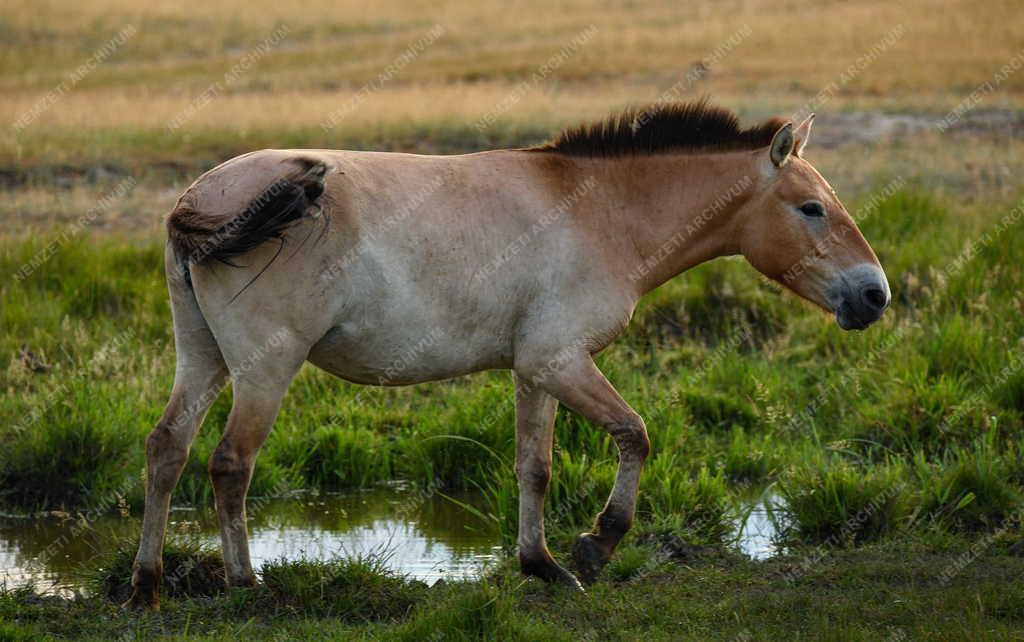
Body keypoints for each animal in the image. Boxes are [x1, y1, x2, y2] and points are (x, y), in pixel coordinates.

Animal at [125, 100, 888, 606]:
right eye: (812, 209)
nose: (874, 295)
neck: (598, 212)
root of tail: (198, 198)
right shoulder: (561, 361)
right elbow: (635, 436)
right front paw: (597, 545)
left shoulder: (534, 372)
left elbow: (535, 468)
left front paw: (542, 565)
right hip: (265, 370)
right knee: (231, 465)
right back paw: (245, 586)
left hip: (203, 359)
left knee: (167, 449)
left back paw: (145, 585)